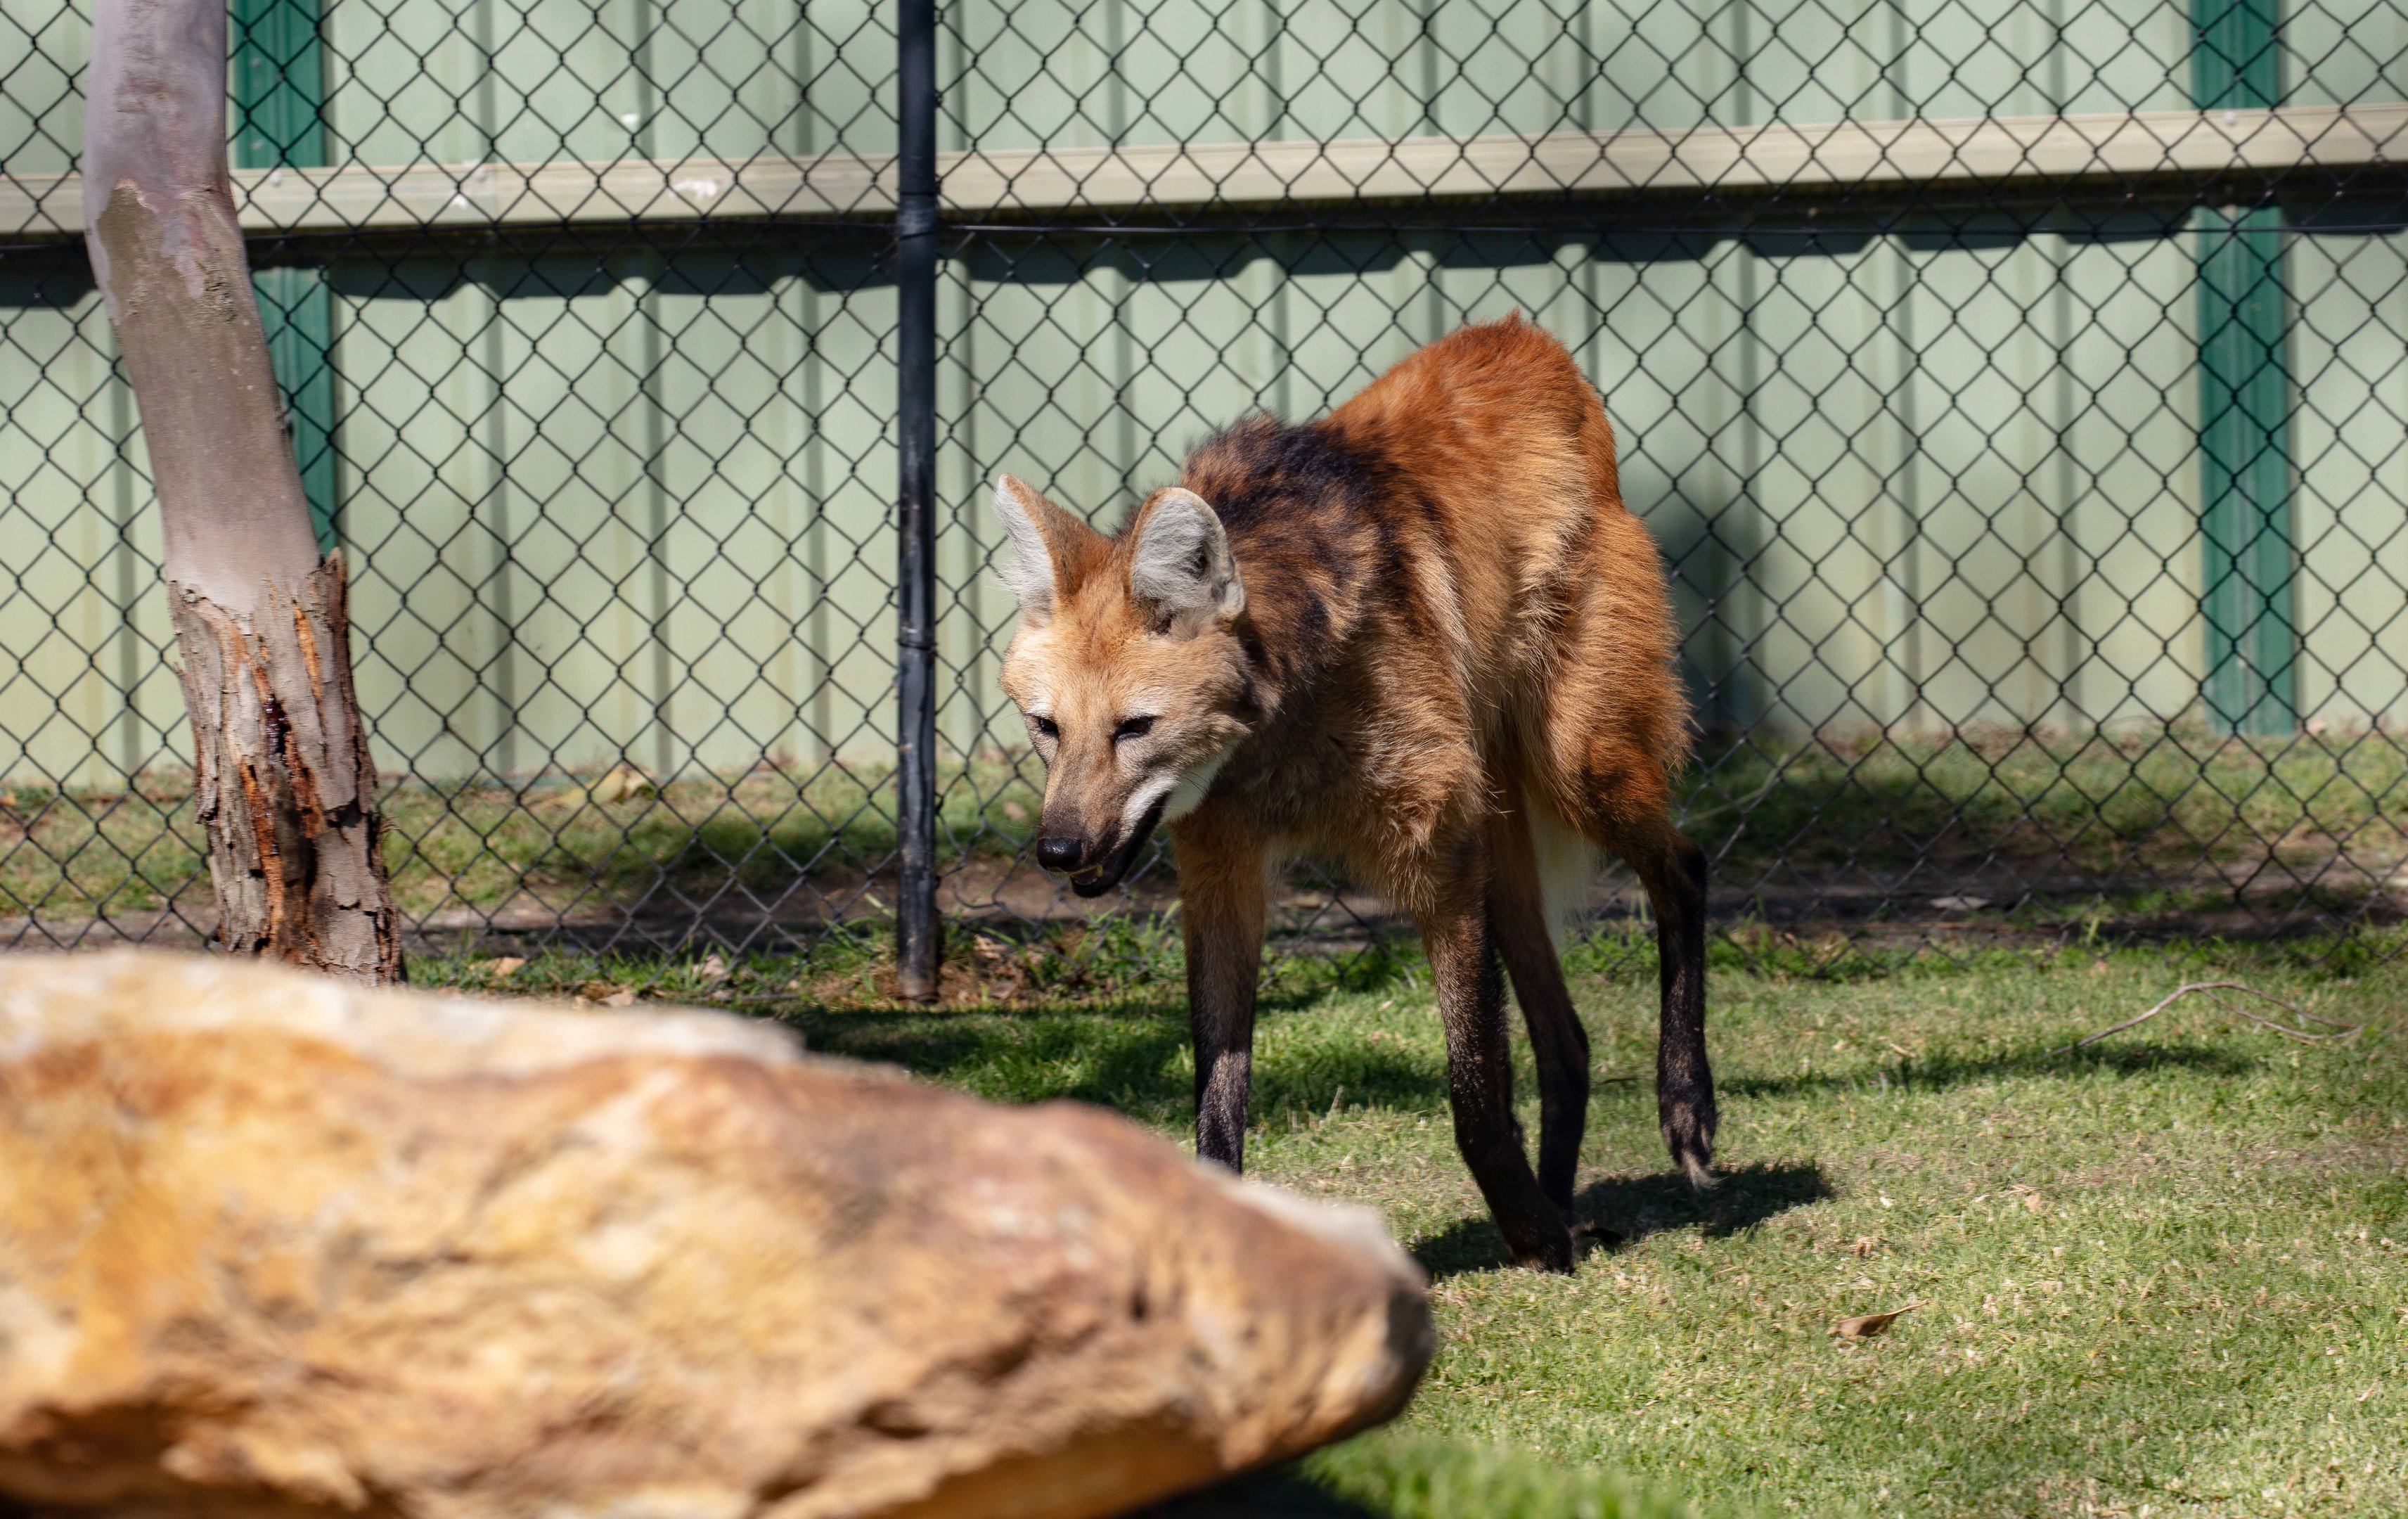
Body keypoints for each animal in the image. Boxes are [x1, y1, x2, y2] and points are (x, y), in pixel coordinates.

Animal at [988, 316, 1709, 1271]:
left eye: (1134, 728)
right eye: (1046, 727)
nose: (1058, 849)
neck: (1277, 736)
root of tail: (1526, 339)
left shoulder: (1437, 856)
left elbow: (1474, 1089)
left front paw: (1527, 1234)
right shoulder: (1225, 875)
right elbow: (1216, 1097)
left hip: (1573, 762)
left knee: (1684, 869)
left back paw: (1680, 1113)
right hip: (1503, 832)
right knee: (1568, 1039)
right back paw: (1560, 1201)